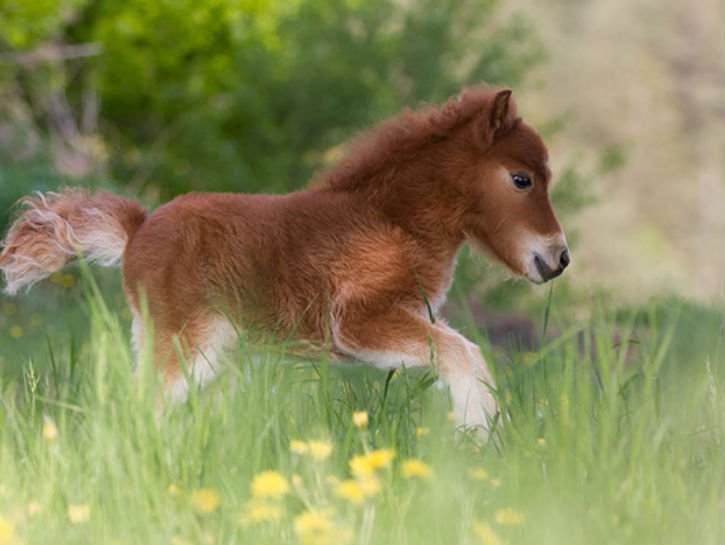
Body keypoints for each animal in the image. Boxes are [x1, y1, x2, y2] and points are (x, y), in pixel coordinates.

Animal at [0, 87, 564, 432]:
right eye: (521, 179)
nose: (558, 258)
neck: (391, 219)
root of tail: (137, 228)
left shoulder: (411, 315)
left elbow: (466, 351)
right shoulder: (358, 323)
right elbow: (463, 354)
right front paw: (478, 439)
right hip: (188, 344)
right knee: (141, 406)